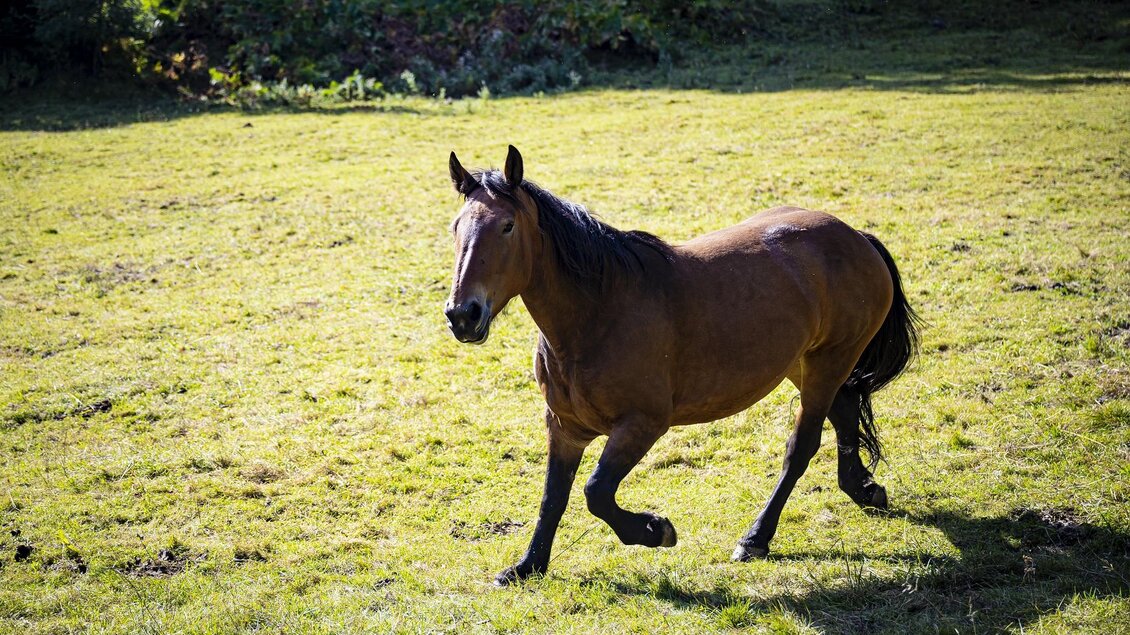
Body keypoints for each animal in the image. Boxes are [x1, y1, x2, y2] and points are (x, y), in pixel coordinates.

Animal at [444, 145, 919, 585]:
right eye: (456, 227)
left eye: (507, 226)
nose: (462, 314)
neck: (599, 311)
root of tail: (855, 236)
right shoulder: (563, 427)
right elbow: (552, 498)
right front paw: (528, 566)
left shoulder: (643, 423)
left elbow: (596, 492)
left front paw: (655, 530)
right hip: (805, 364)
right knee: (845, 410)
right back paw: (863, 489)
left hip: (829, 361)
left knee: (801, 446)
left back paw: (756, 538)